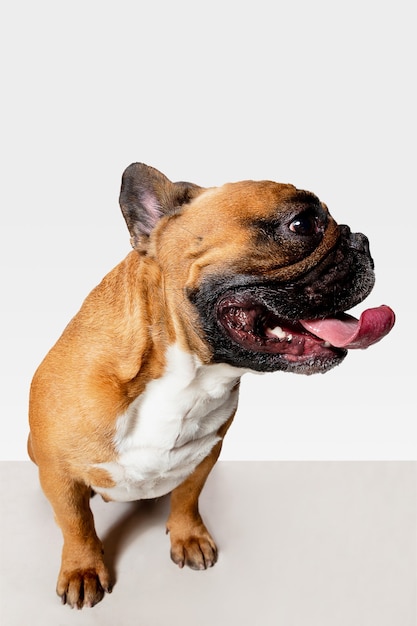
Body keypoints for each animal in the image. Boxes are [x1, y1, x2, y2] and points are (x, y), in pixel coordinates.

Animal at [28, 163, 394, 608]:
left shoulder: (205, 455)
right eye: (303, 224)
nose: (363, 240)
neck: (185, 376)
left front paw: (189, 537)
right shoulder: (58, 473)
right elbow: (75, 522)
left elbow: (187, 498)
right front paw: (82, 567)